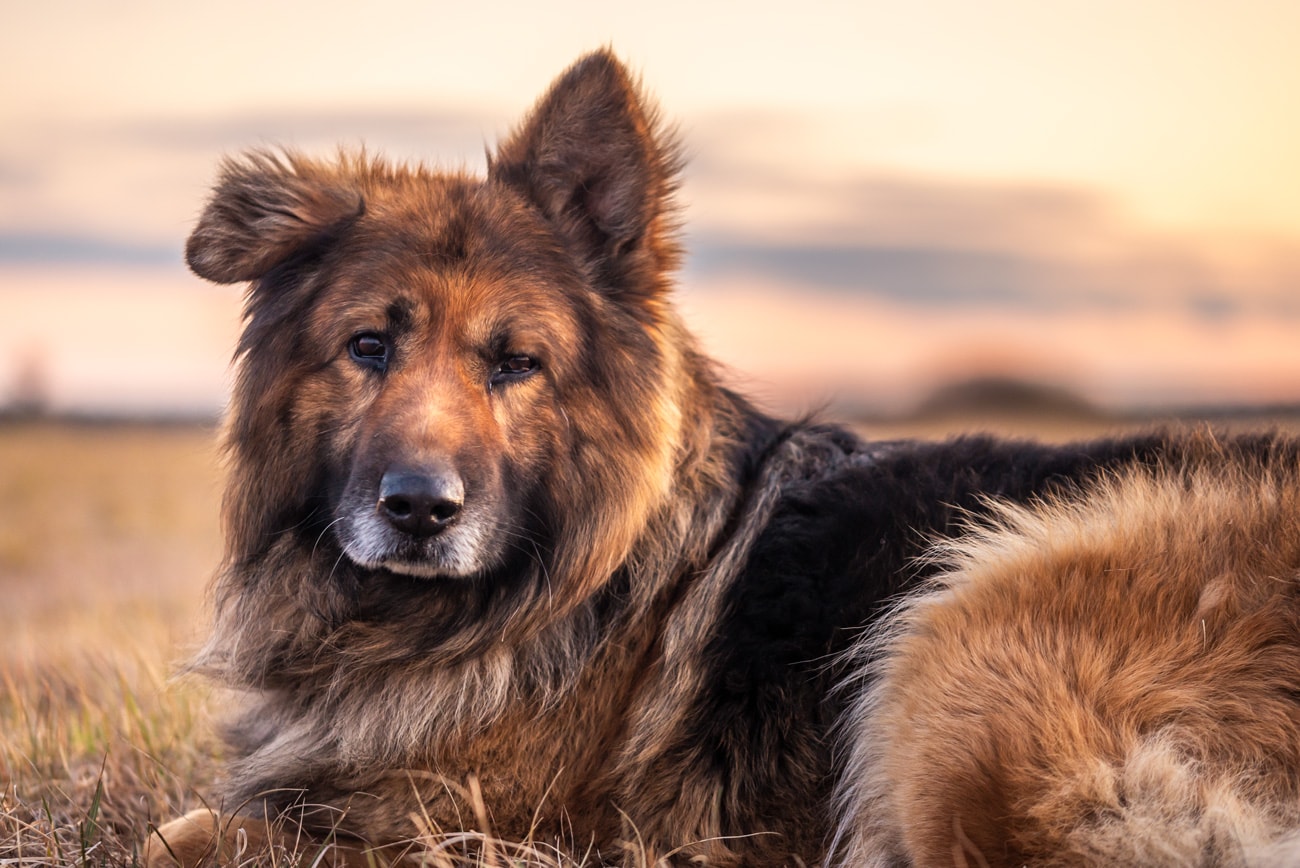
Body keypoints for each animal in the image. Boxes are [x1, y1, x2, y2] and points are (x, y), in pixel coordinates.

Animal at [147, 51, 1300, 862]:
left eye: (517, 363)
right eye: (368, 348)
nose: (421, 510)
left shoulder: (454, 823)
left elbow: (184, 835)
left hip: (961, 639)